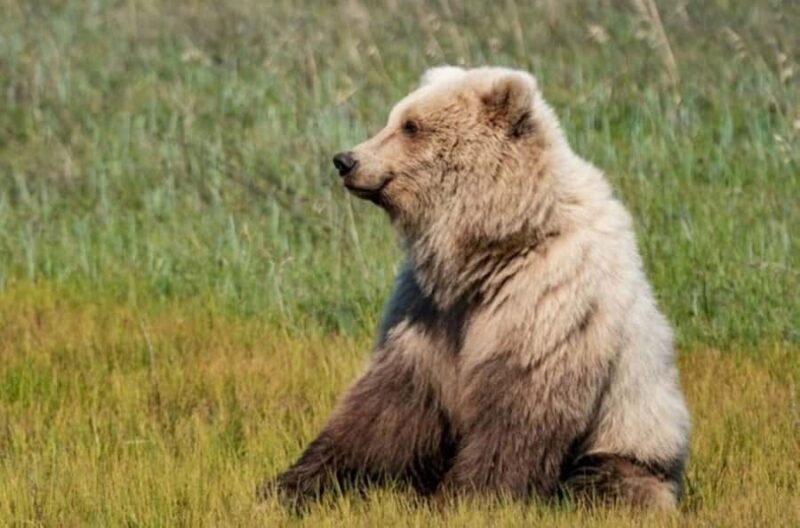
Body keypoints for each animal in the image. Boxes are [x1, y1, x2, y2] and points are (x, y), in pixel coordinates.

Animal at [261, 66, 690, 510]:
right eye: (393, 119)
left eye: (410, 126)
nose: (346, 160)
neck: (488, 250)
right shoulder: (429, 308)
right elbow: (390, 403)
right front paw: (290, 485)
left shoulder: (546, 301)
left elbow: (515, 407)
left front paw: (469, 498)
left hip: (635, 449)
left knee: (604, 481)